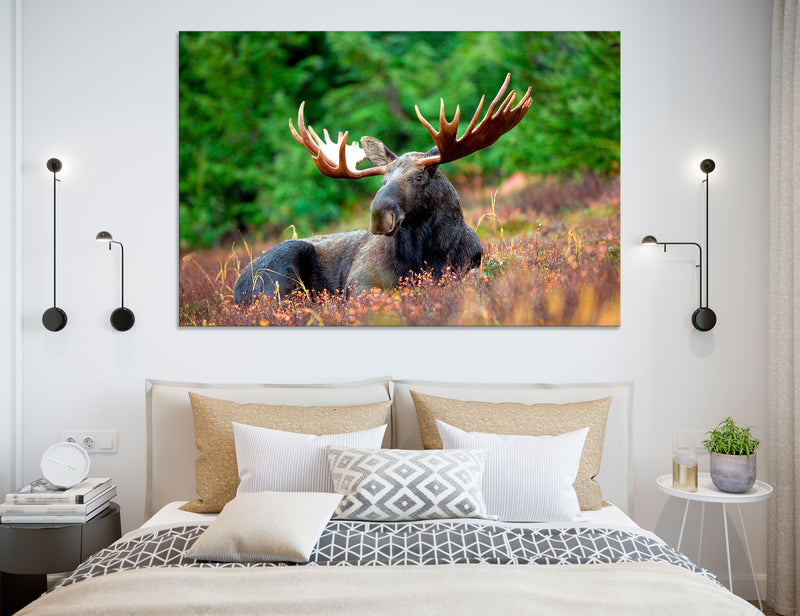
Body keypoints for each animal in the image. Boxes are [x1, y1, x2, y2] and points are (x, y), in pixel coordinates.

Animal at [233, 74, 532, 305]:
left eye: (418, 177)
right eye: (382, 181)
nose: (379, 215)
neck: (431, 253)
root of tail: (237, 289)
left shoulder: (470, 265)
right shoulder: (359, 281)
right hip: (281, 268)